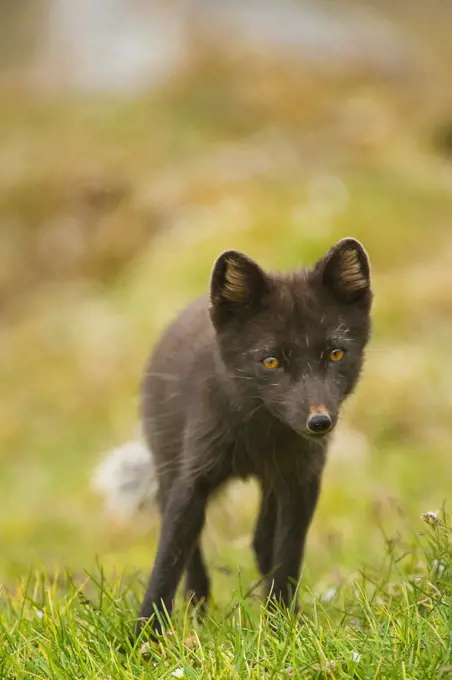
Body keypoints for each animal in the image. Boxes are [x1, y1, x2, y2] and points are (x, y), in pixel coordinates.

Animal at [92, 236, 370, 636]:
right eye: (271, 361)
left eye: (335, 354)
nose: (320, 422)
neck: (260, 435)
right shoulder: (193, 479)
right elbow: (167, 561)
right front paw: (145, 637)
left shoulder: (301, 481)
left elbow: (287, 555)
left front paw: (281, 625)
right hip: (168, 467)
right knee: (193, 552)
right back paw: (199, 612)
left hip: (272, 484)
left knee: (261, 542)